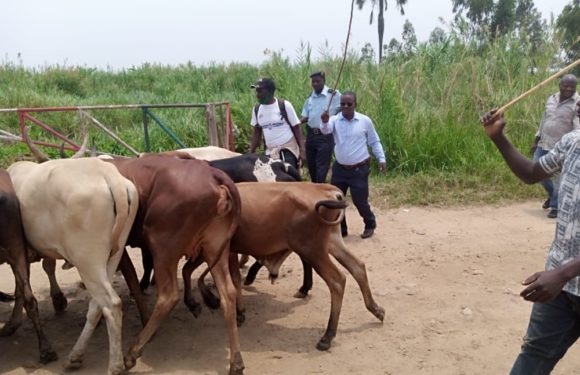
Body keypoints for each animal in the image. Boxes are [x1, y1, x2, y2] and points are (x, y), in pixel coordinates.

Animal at [8, 156, 138, 375]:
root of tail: (108, 174)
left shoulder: (17, 254)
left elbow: (21, 289)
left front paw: (12, 323)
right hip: (113, 255)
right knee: (97, 305)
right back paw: (75, 356)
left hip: (87, 260)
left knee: (111, 304)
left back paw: (114, 366)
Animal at [105, 156, 246, 375]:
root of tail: (213, 174)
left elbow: (131, 279)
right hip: (216, 249)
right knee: (228, 294)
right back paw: (236, 362)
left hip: (162, 246)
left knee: (168, 296)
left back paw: (132, 353)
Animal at [184, 182, 388, 352]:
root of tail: (327, 190)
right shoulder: (227, 250)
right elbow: (229, 277)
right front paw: (238, 311)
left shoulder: (212, 248)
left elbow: (189, 270)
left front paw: (200, 302)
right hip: (332, 242)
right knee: (358, 266)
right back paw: (376, 309)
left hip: (312, 250)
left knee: (337, 280)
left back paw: (328, 336)